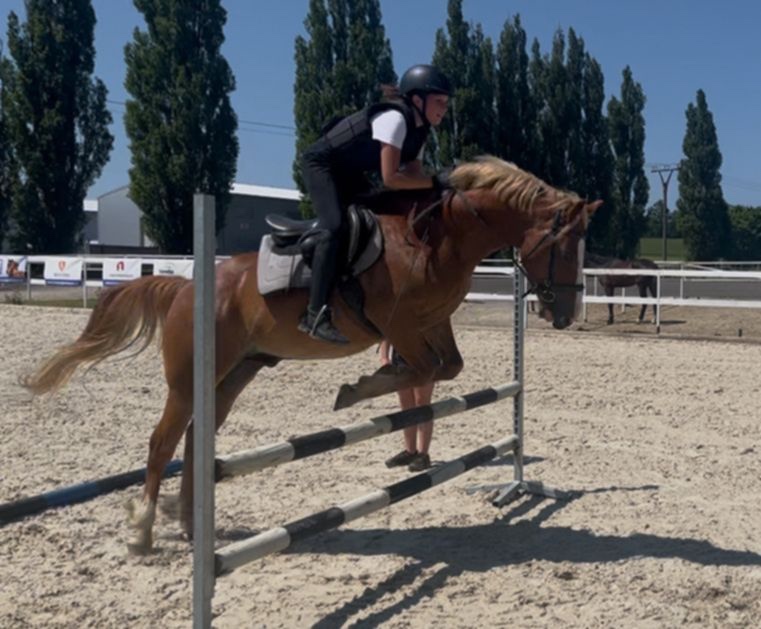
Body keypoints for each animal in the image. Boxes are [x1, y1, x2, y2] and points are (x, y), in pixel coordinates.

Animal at [22, 156, 601, 554]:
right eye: (563, 245)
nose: (566, 314)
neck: (437, 236)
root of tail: (187, 287)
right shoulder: (399, 324)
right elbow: (423, 368)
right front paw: (361, 388)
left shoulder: (431, 322)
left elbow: (446, 366)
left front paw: (379, 383)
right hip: (187, 380)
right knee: (163, 441)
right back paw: (143, 530)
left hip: (234, 374)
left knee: (196, 435)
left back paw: (188, 522)